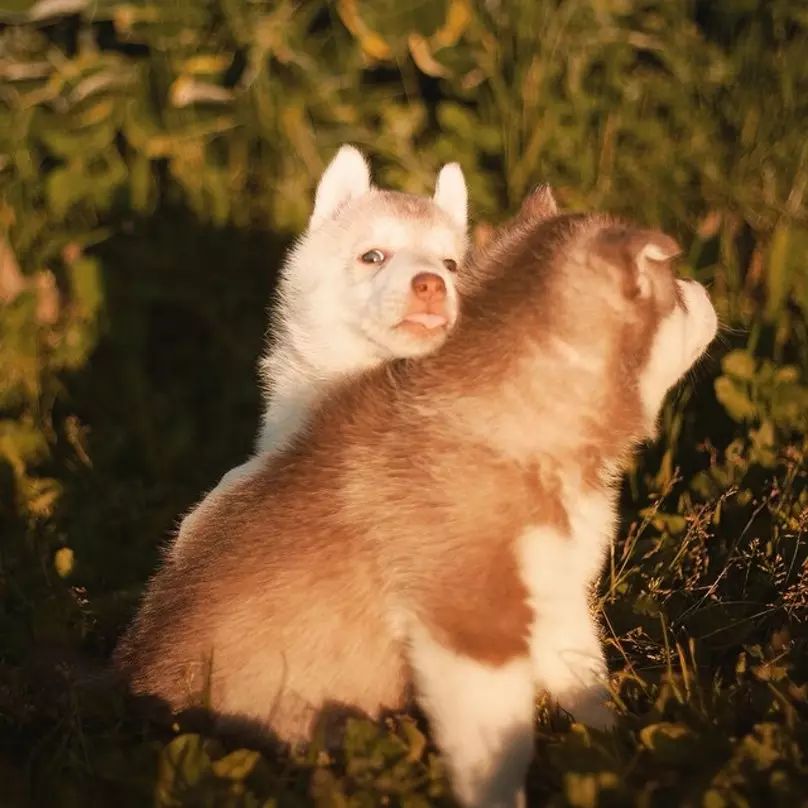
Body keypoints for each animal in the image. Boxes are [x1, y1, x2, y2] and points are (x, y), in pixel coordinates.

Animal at [113, 197, 712, 808]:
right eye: (676, 288)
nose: (703, 287)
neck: (511, 423)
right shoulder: (470, 625)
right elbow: (496, 750)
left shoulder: (553, 595)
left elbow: (585, 681)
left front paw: (611, 751)